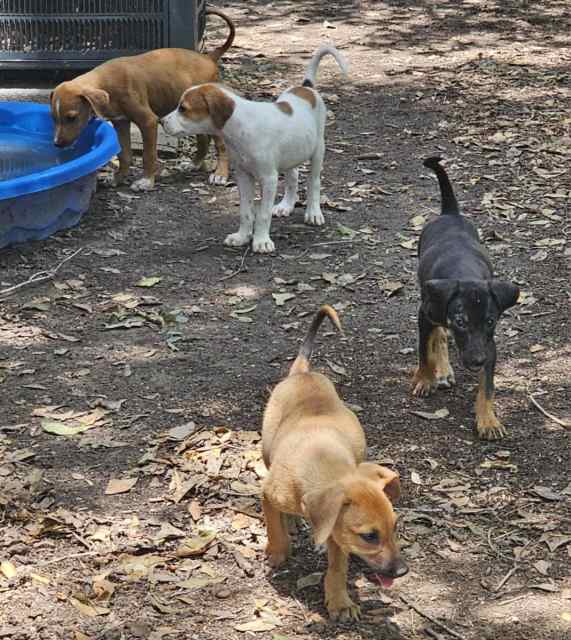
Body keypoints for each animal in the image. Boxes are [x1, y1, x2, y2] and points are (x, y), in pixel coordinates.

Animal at [49, 9, 235, 190]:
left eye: (72, 117)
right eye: (54, 118)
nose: (56, 144)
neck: (106, 82)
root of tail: (208, 57)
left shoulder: (148, 121)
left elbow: (148, 155)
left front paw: (146, 181)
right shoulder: (120, 122)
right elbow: (124, 154)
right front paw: (118, 178)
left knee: (221, 146)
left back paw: (220, 174)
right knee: (203, 138)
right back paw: (194, 164)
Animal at [162, 45, 348, 252]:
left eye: (183, 108)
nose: (161, 121)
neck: (241, 127)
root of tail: (306, 87)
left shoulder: (268, 179)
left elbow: (263, 214)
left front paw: (261, 241)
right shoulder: (243, 176)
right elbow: (246, 212)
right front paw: (242, 236)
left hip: (317, 151)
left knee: (313, 182)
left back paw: (313, 213)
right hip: (292, 152)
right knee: (293, 177)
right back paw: (286, 206)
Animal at [262, 304, 408, 620]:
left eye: (395, 526)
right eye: (369, 536)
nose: (402, 571)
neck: (320, 458)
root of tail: (303, 373)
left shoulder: (337, 534)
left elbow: (337, 568)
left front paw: (339, 601)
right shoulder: (267, 494)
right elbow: (274, 527)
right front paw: (278, 551)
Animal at [414, 156, 520, 440]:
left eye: (490, 321)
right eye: (460, 321)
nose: (476, 361)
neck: (465, 272)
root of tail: (450, 213)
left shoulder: (489, 344)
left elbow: (487, 386)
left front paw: (488, 421)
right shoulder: (424, 315)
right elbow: (424, 352)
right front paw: (425, 379)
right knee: (439, 334)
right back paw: (441, 370)